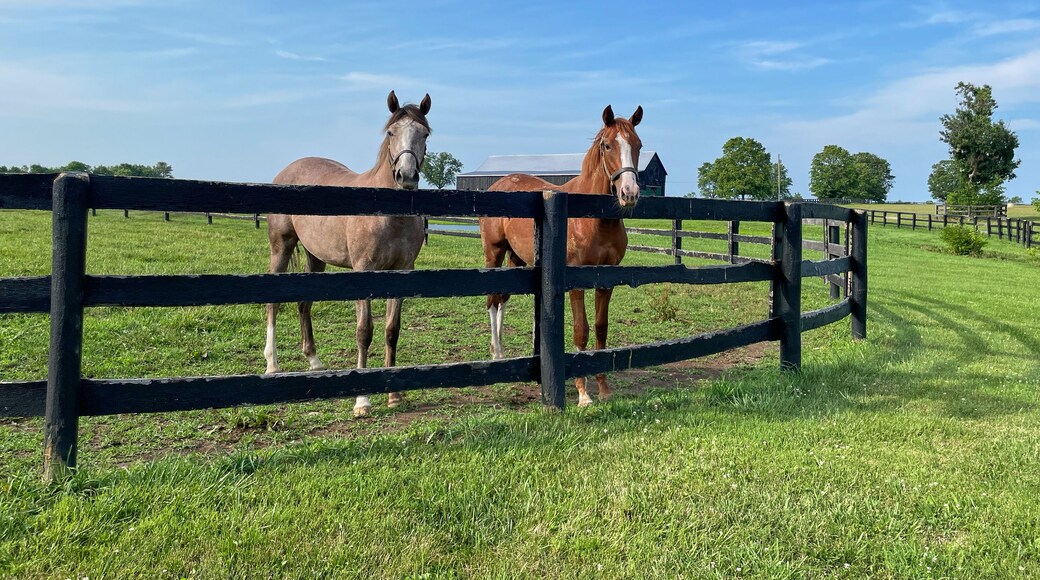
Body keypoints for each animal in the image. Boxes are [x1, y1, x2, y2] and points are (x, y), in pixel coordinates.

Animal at [265, 90, 432, 417]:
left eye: (425, 134)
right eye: (391, 132)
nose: (406, 175)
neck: (388, 215)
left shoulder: (403, 271)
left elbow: (392, 330)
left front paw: (393, 395)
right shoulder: (363, 271)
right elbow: (364, 331)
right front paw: (362, 401)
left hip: (315, 257)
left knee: (304, 304)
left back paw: (314, 360)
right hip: (281, 247)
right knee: (273, 302)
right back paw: (272, 364)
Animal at [479, 104, 643, 407]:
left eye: (638, 144)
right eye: (607, 145)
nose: (629, 193)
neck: (593, 217)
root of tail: (498, 185)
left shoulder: (607, 280)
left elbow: (600, 328)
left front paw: (604, 387)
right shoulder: (575, 279)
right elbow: (581, 330)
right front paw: (583, 394)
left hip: (516, 257)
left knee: (503, 298)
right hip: (493, 253)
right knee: (492, 300)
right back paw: (497, 353)